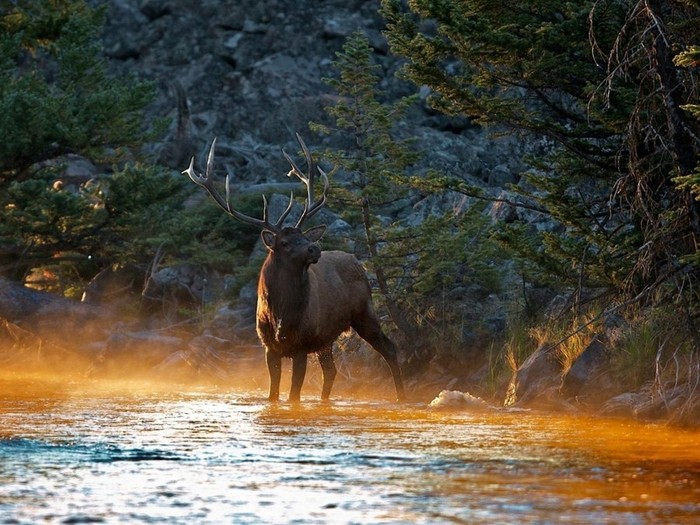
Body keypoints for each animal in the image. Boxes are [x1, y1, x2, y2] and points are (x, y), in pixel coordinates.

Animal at [183, 134, 404, 402]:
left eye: (304, 236)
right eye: (285, 243)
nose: (314, 248)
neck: (281, 315)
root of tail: (356, 261)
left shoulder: (301, 345)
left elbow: (293, 395)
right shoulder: (269, 347)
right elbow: (273, 394)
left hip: (364, 312)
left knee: (390, 348)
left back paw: (402, 396)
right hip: (325, 338)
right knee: (331, 370)